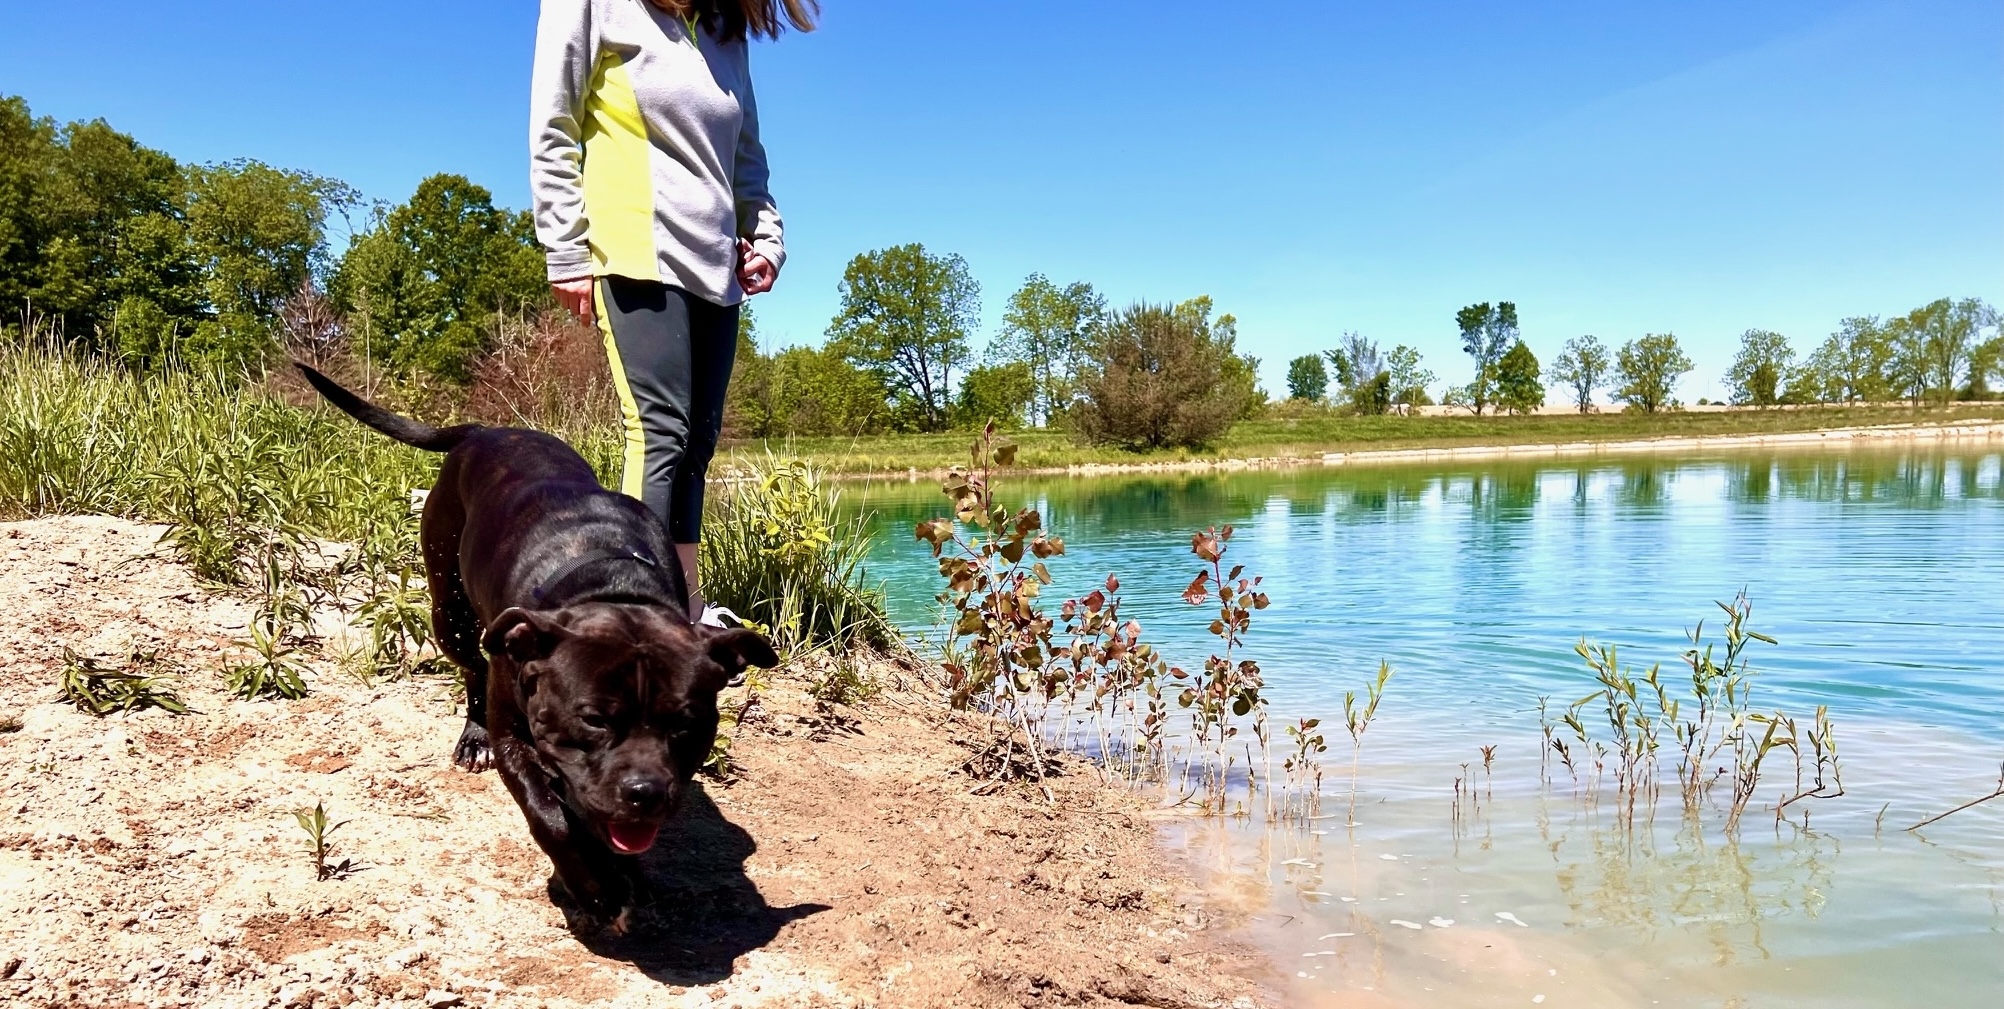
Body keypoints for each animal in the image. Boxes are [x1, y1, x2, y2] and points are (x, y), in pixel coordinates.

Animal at [296, 365, 773, 930]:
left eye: (686, 724)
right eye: (593, 719)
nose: (646, 792)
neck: (610, 586)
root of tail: (484, 431)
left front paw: (624, 876)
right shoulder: (514, 740)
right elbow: (551, 819)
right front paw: (595, 890)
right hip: (450, 613)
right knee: (473, 671)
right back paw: (472, 738)